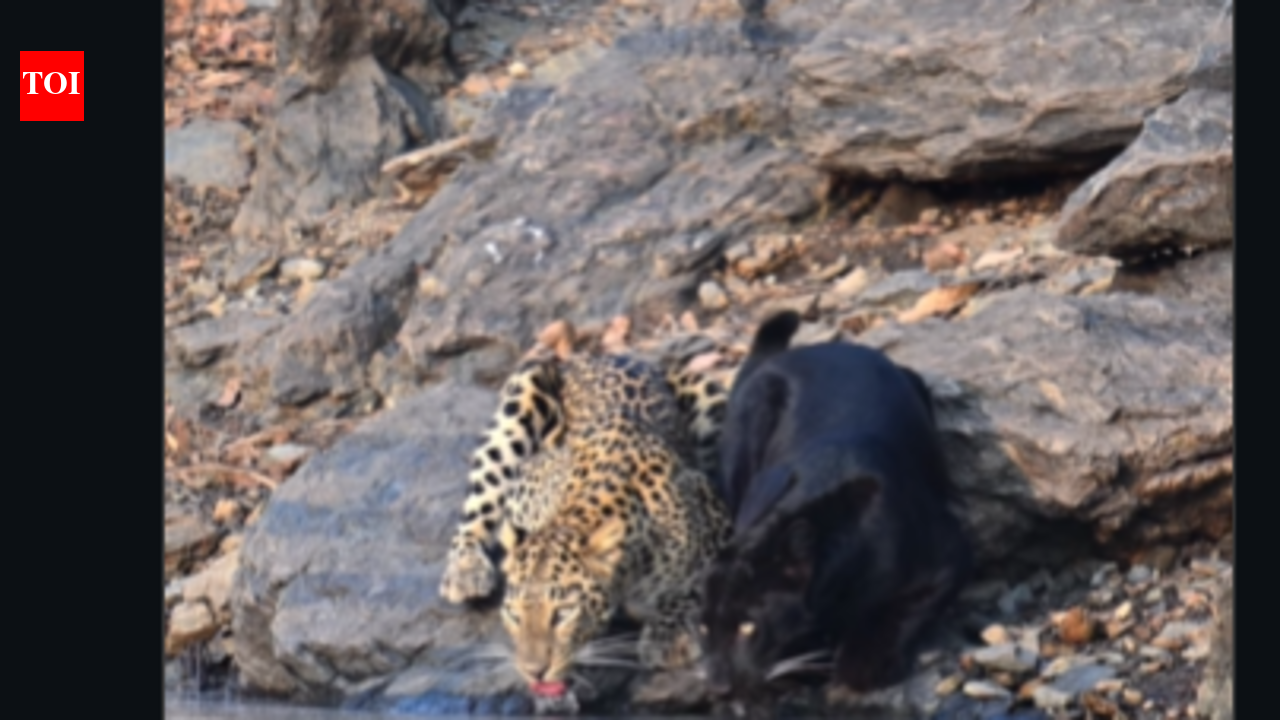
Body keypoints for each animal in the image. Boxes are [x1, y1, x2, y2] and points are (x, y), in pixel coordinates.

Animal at [437, 333, 736, 703]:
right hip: (523, 388)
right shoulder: (524, 489)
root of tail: (601, 356)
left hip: (711, 396)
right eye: (515, 614)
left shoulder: (717, 511)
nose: (534, 671)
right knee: (481, 496)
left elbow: (699, 581)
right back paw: (466, 569)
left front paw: (669, 633)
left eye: (563, 613)